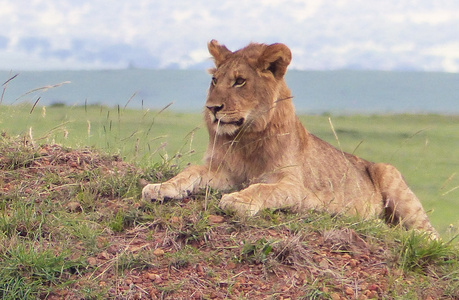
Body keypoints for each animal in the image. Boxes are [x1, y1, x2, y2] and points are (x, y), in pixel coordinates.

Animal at [143, 39, 438, 237]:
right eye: (215, 80)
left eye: (240, 81)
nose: (212, 108)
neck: (246, 138)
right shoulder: (224, 172)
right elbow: (190, 171)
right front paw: (160, 187)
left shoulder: (296, 187)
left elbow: (263, 189)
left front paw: (238, 201)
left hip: (392, 180)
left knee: (428, 234)